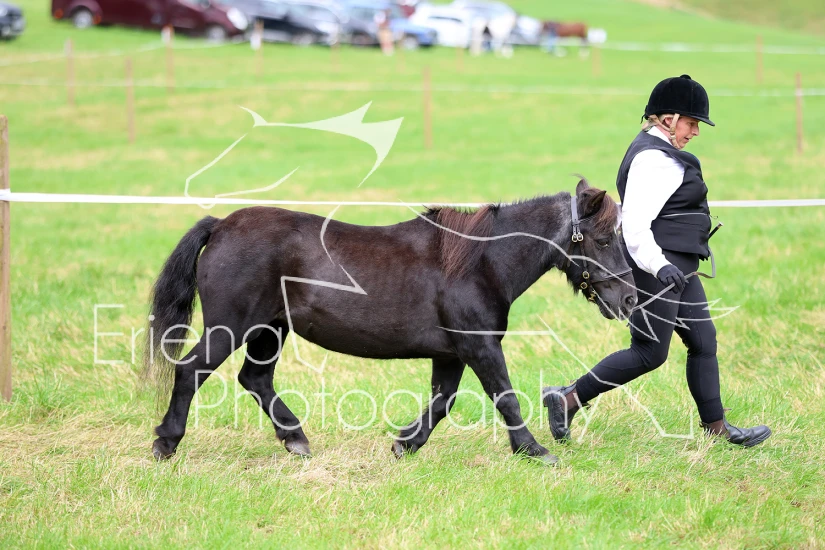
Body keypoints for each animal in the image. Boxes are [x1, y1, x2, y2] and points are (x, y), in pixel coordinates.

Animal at [143, 179, 637, 465]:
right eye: (603, 238)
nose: (630, 298)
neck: (479, 261)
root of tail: (221, 225)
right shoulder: (479, 346)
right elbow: (506, 398)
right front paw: (535, 451)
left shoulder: (452, 354)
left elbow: (442, 403)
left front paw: (405, 444)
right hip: (230, 327)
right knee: (191, 371)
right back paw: (166, 443)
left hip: (270, 329)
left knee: (255, 379)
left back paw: (296, 439)